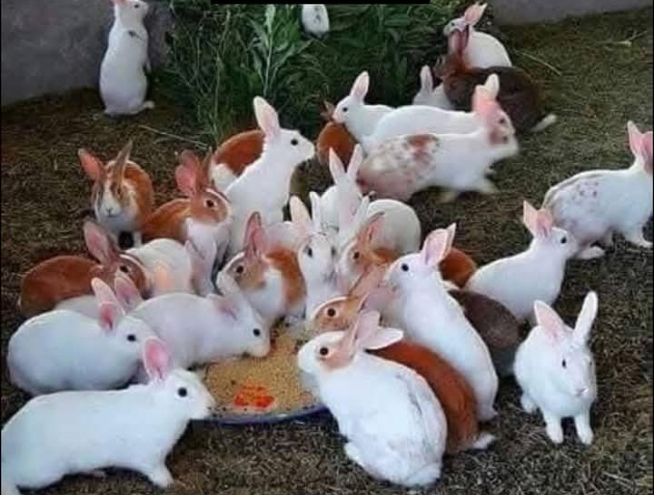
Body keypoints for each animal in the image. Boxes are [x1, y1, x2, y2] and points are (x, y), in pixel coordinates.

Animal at [1, 338, 216, 494]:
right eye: (182, 392)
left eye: (197, 379)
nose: (211, 406)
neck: (162, 407)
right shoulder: (151, 460)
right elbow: (158, 474)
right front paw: (171, 483)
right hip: (44, 472)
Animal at [357, 84, 519, 203]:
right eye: (505, 138)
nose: (516, 149)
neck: (482, 146)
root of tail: (363, 173)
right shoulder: (467, 178)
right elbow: (479, 185)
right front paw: (493, 191)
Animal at [514, 292, 599, 445]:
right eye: (563, 363)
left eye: (590, 362)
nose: (581, 389)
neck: (569, 396)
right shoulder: (549, 409)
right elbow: (552, 421)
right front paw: (556, 438)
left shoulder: (583, 411)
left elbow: (583, 422)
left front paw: (587, 438)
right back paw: (528, 405)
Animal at [542, 121, 653, 259]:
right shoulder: (634, 224)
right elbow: (636, 238)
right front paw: (648, 244)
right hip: (590, 231)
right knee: (577, 253)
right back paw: (596, 252)